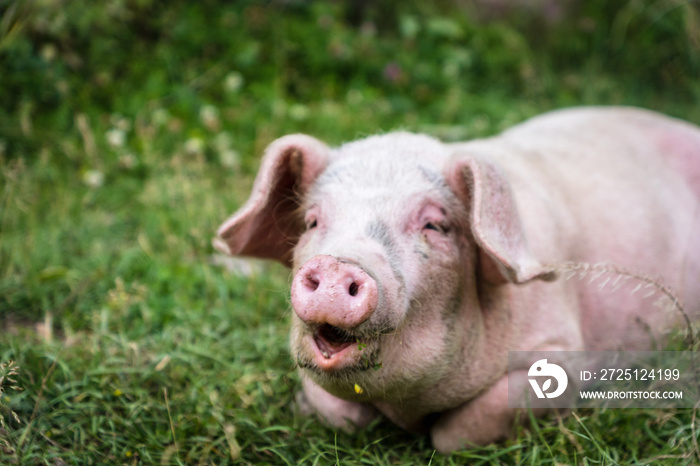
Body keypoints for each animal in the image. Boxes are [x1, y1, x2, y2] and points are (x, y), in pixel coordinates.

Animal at [215, 107, 700, 454]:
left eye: (434, 225)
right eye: (313, 221)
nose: (338, 265)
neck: (408, 406)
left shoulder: (564, 356)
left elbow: (454, 435)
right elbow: (342, 414)